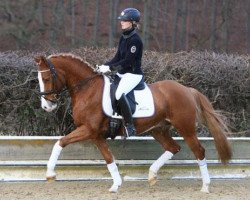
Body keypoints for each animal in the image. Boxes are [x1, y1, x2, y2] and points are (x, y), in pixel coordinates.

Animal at [34, 53, 231, 194]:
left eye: (46, 79)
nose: (46, 106)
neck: (87, 89)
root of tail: (187, 90)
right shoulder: (96, 135)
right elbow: (108, 158)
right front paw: (116, 184)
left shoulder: (89, 130)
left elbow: (61, 142)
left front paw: (50, 174)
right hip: (158, 130)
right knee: (173, 148)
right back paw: (152, 175)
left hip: (186, 128)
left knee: (199, 151)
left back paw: (205, 186)